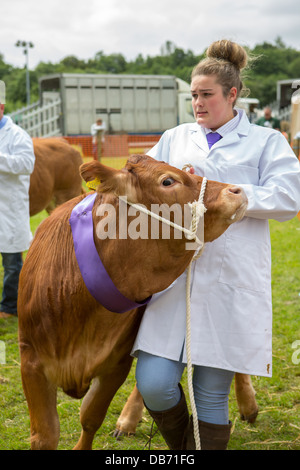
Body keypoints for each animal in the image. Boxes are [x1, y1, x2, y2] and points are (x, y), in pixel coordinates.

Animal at [18, 155, 248, 452]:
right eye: (168, 180)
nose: (237, 190)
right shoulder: (31, 362)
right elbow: (45, 436)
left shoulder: (116, 363)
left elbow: (90, 417)